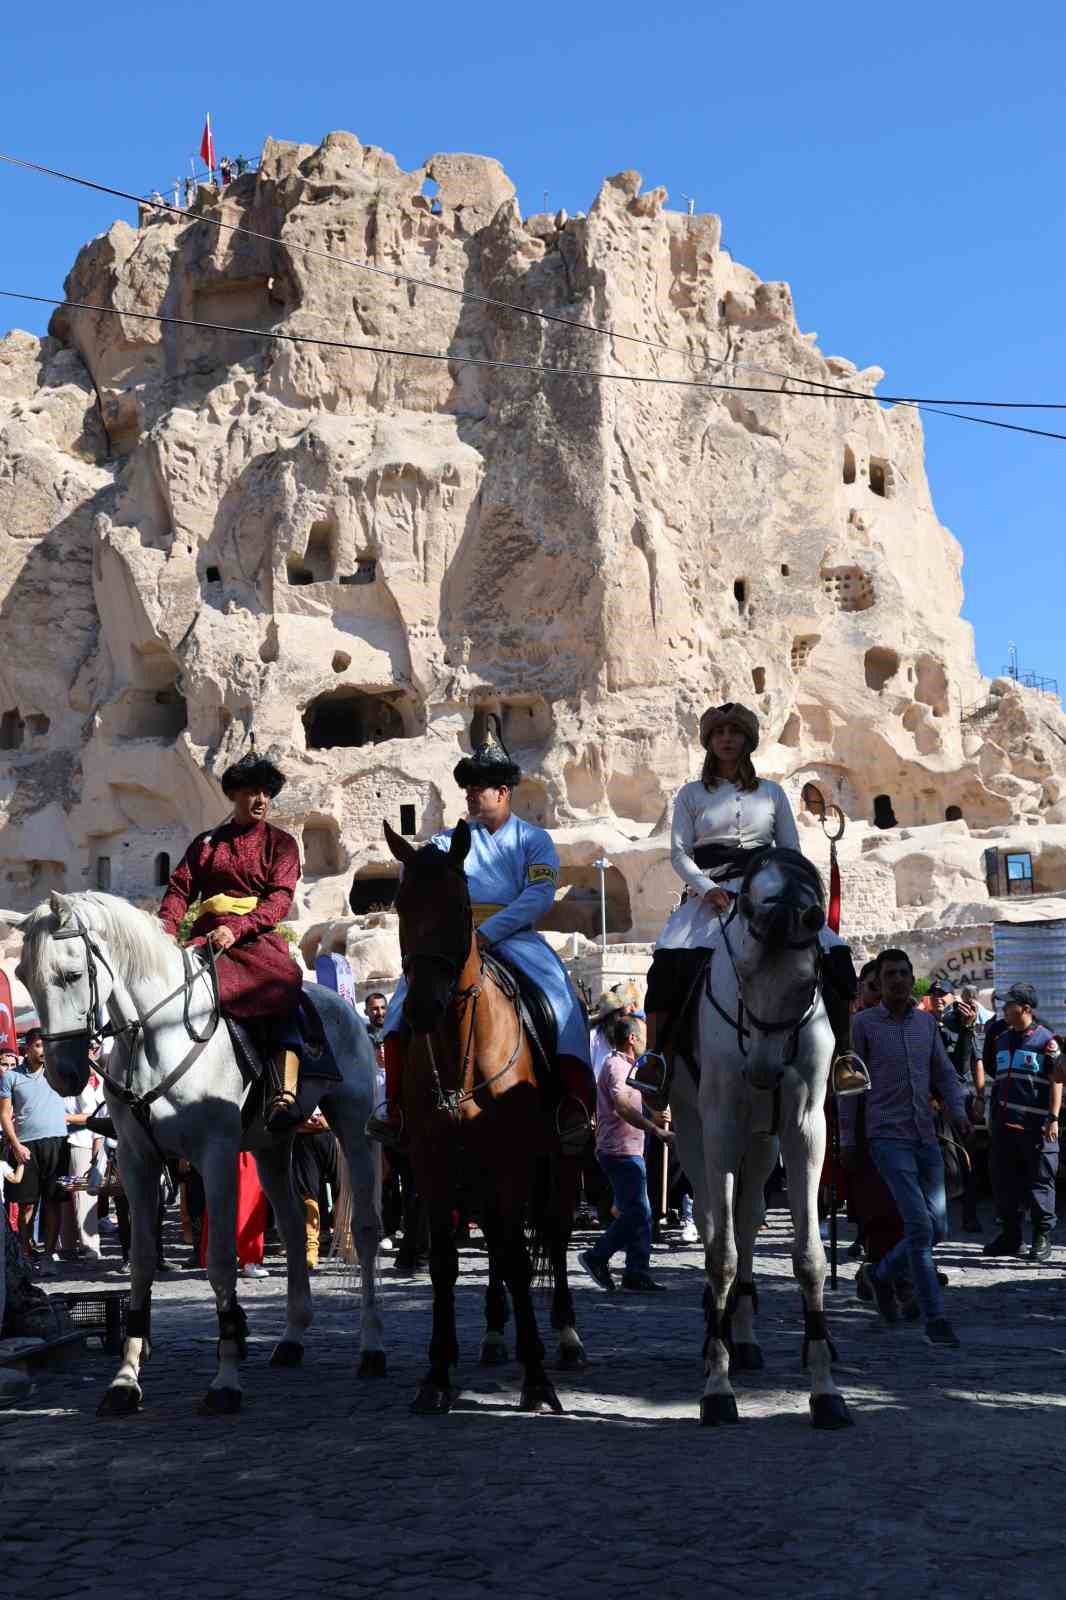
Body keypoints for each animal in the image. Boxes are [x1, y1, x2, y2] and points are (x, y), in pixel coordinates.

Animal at [7, 896, 382, 1420]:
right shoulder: (139, 1164)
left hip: (352, 1126)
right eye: (23, 974)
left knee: (364, 1230)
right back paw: (291, 1336)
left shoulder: (216, 1157)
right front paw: (126, 1380)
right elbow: (142, 1262)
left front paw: (225, 1380)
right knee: (291, 1224)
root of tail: (344, 1008)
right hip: (270, 1147)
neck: (157, 1038)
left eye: (71, 974)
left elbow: (221, 1261)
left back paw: (371, 1347)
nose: (63, 1075)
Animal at [382, 825, 582, 1414]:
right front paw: (436, 1374)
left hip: (562, 1161)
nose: (421, 1008)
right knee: (494, 1239)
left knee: (553, 1235)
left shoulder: (511, 1162)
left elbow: (518, 1259)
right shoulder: (432, 1166)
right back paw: (494, 1334)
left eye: (461, 905)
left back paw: (566, 1336)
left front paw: (537, 1377)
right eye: (400, 904)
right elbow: (446, 1262)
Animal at [669, 844, 851, 1433]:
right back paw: (716, 1333)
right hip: (695, 1131)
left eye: (806, 982)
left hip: (762, 1141)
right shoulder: (721, 1124)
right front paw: (717, 1389)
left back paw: (742, 1335)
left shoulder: (805, 1129)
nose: (765, 1073)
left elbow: (809, 1256)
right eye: (742, 972)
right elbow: (719, 1254)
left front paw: (825, 1390)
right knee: (713, 1222)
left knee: (747, 1219)